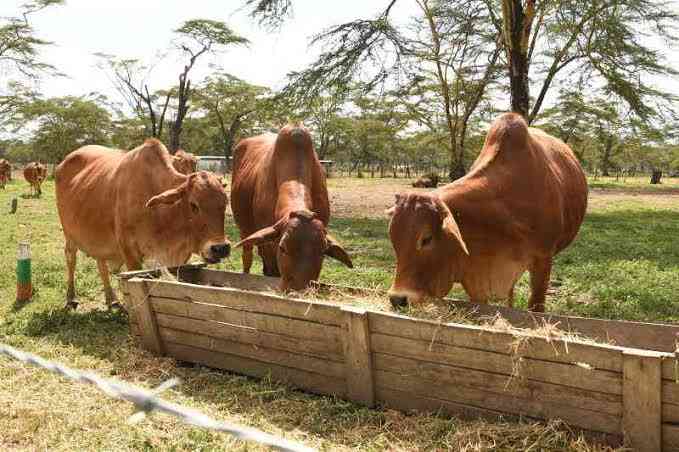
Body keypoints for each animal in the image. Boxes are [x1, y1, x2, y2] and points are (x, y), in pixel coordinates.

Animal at [55, 138, 231, 309]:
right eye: (194, 205)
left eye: (225, 202)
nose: (220, 248)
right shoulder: (130, 253)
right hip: (69, 234)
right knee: (70, 258)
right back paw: (71, 298)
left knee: (101, 264)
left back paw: (112, 299)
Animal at [231, 124, 353, 291]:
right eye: (282, 247)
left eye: (323, 251)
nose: (297, 290)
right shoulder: (270, 244)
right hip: (245, 230)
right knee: (247, 257)